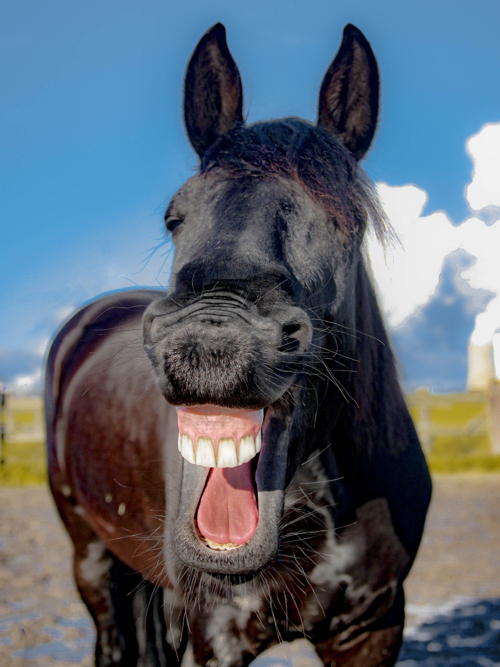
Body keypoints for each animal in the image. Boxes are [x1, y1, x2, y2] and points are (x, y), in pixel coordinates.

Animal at [45, 23, 431, 667]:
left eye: (346, 221)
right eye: (174, 216)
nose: (209, 342)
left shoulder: (373, 628)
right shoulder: (215, 632)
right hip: (91, 561)